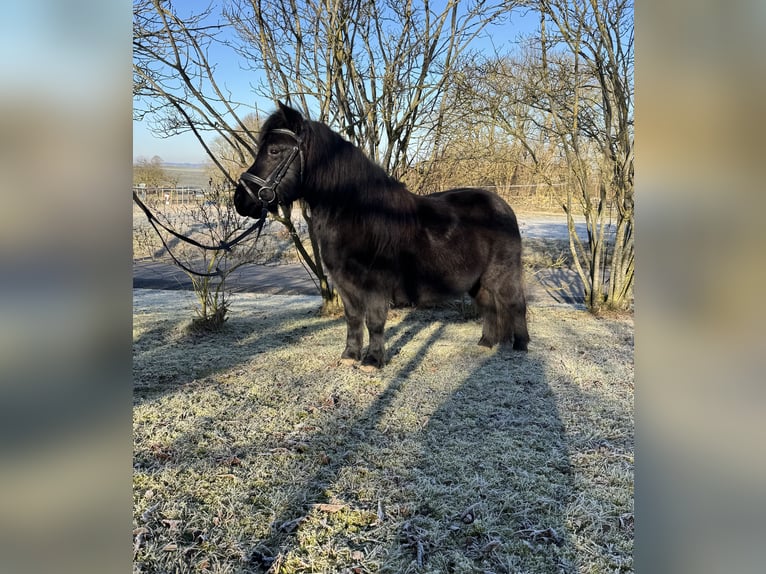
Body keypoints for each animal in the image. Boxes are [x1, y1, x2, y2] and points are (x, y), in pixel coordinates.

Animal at [234, 104, 528, 372]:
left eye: (274, 151)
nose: (241, 200)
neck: (360, 213)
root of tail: (502, 206)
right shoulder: (345, 283)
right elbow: (353, 319)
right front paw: (350, 355)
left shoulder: (376, 283)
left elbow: (374, 321)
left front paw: (373, 361)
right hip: (478, 281)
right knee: (489, 307)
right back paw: (486, 343)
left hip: (503, 274)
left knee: (515, 304)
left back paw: (521, 345)